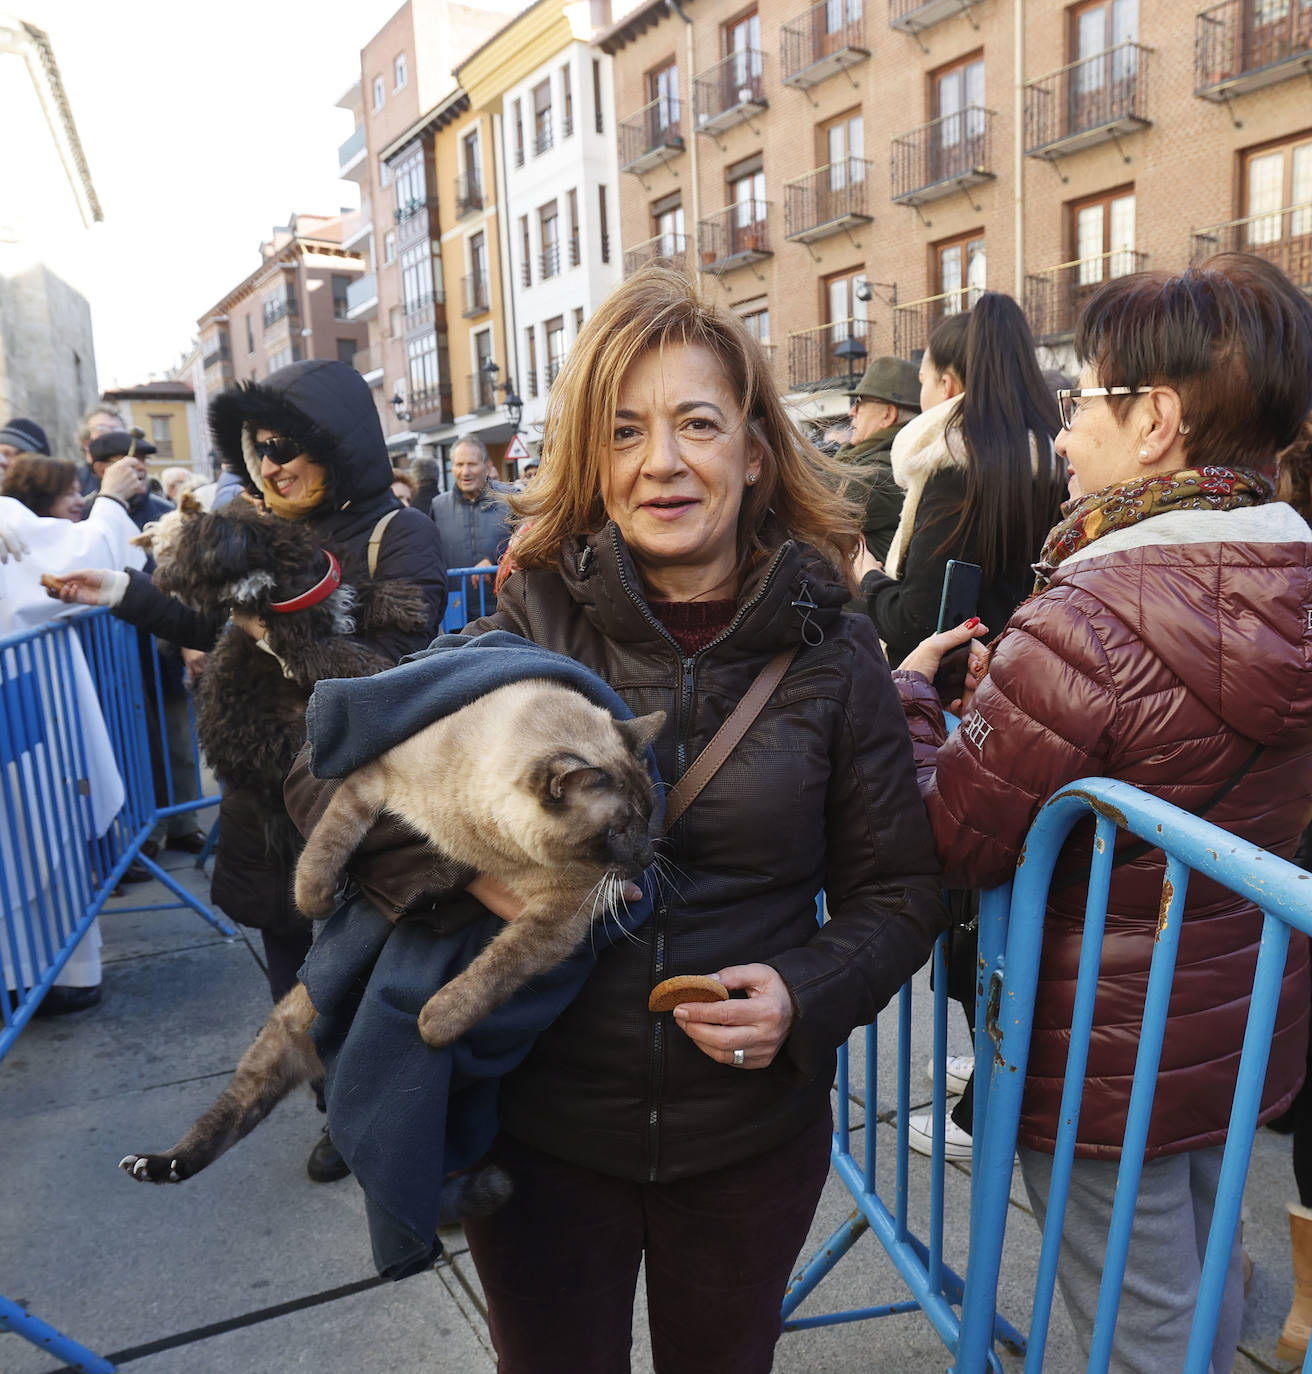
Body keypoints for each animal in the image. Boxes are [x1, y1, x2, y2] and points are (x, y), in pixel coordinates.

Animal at [118, 681, 662, 1198]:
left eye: (649, 815)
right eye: (619, 829)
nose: (647, 861)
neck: (487, 840)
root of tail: (323, 1062)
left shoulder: (563, 913)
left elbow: (496, 969)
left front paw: (432, 1025)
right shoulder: (370, 780)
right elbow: (326, 845)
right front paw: (314, 902)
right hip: (277, 1039)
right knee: (230, 1113)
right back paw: (154, 1165)